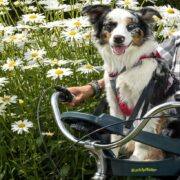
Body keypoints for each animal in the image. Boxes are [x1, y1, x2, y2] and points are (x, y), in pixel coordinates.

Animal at [83, 4, 179, 161]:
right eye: (110, 25)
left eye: (131, 26)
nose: (118, 38)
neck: (126, 66)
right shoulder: (114, 105)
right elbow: (115, 135)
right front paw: (112, 155)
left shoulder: (146, 106)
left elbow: (142, 137)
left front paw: (137, 159)